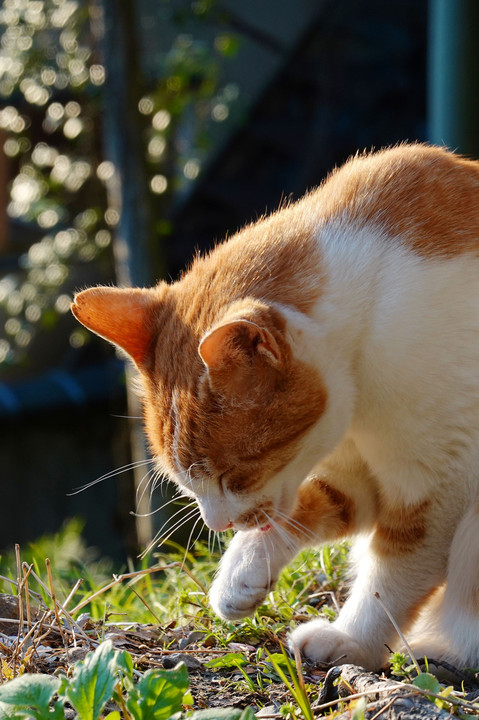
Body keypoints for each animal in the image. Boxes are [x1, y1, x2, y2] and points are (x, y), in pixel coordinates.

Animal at [73, 143, 479, 672]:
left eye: (235, 475)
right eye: (184, 482)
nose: (217, 525)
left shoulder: (438, 484)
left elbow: (394, 572)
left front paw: (354, 641)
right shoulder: (353, 471)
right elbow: (311, 503)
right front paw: (239, 573)